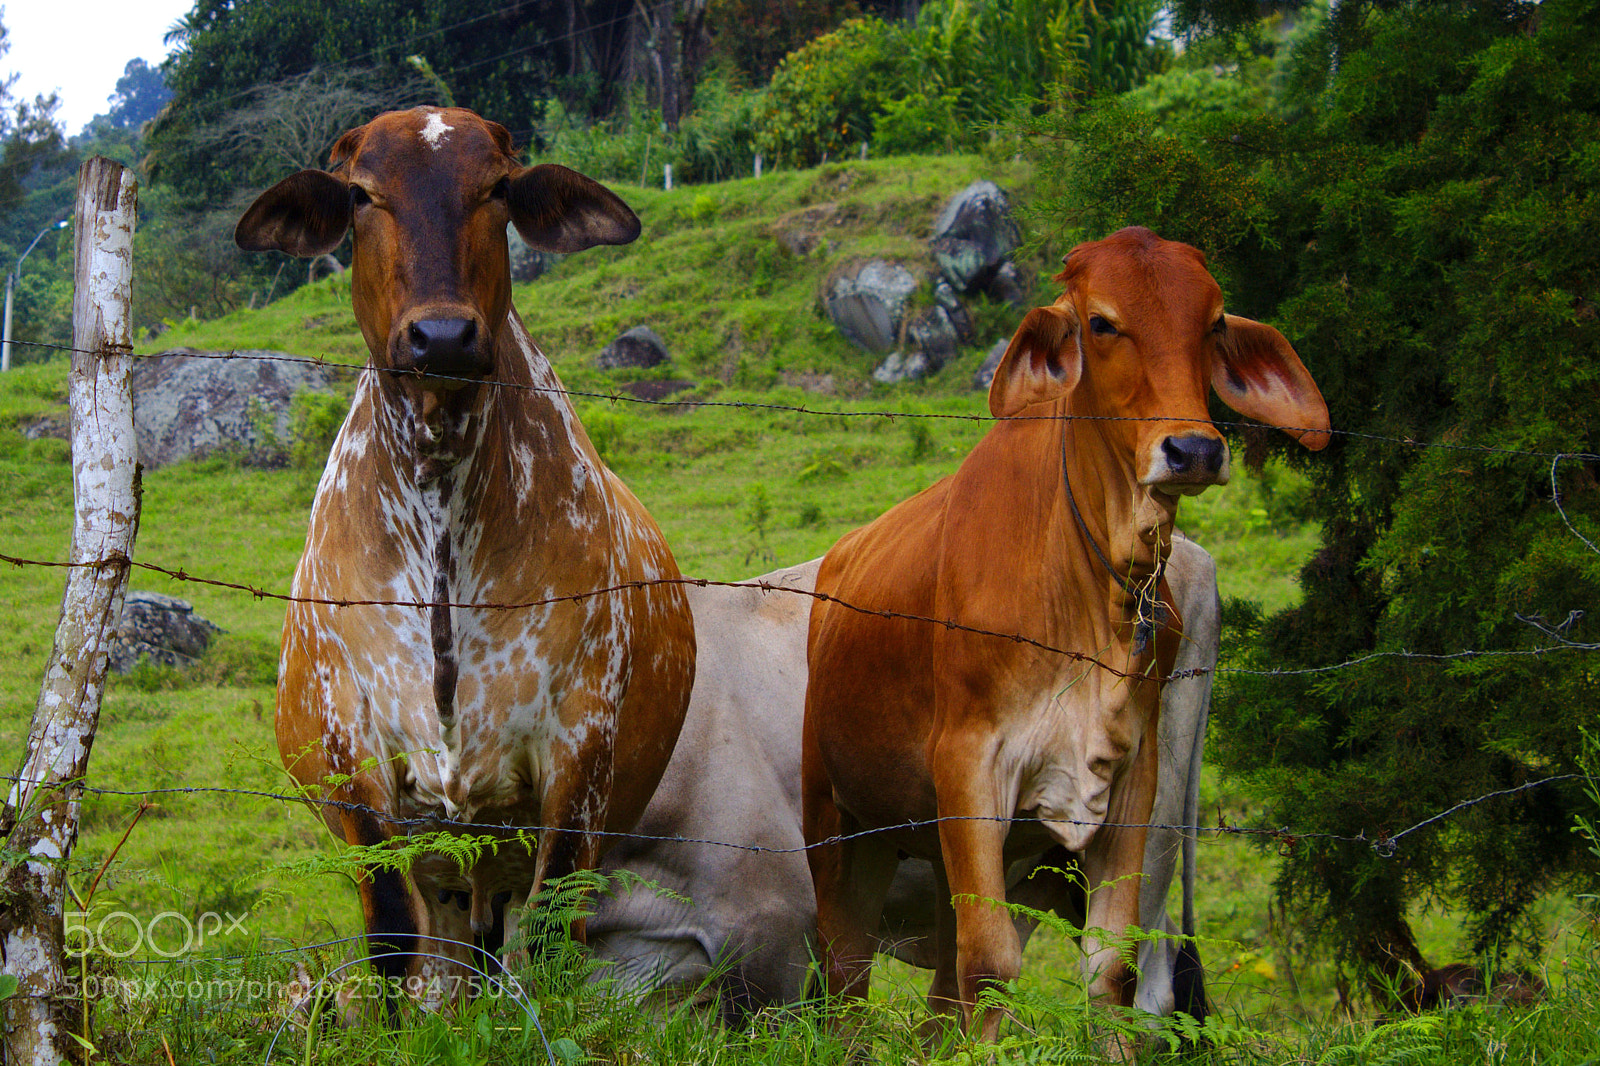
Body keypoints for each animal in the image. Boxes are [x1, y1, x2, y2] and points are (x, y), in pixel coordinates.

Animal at [233, 107, 696, 1000]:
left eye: (498, 189)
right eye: (361, 193)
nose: (442, 335)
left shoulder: (579, 756)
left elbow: (549, 944)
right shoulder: (354, 752)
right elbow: (388, 937)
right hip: (448, 871)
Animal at [802, 226, 1330, 1049]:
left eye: (1212, 323)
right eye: (1101, 322)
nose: (1194, 451)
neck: (1095, 593)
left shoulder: (1133, 784)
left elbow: (1110, 972)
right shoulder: (970, 768)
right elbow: (990, 965)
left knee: (943, 992)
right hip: (843, 828)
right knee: (848, 979)